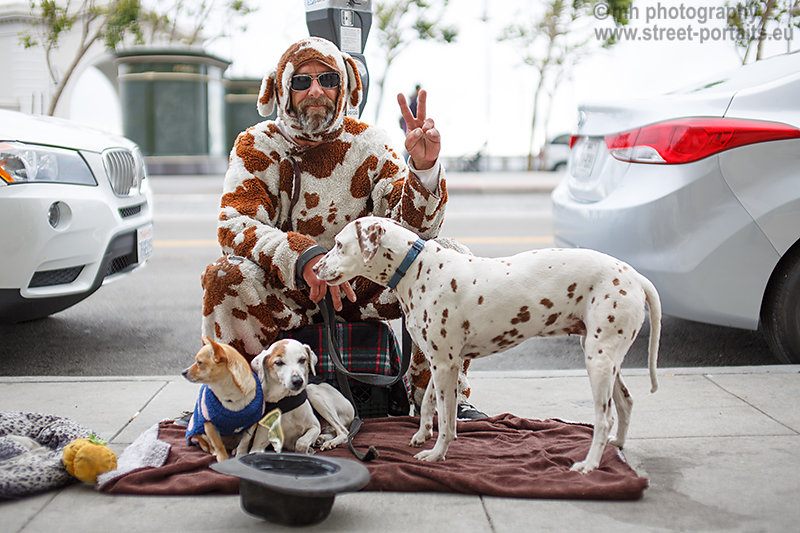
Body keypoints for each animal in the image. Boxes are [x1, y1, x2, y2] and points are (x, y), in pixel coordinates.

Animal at [314, 214, 664, 472]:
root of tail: (635, 276)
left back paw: (589, 464)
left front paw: (437, 453)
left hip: (599, 360)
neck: (416, 268)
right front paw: (423, 434)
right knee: (625, 403)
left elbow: (447, 419)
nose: (314, 267)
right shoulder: (441, 362)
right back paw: (616, 446)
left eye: (340, 244)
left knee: (603, 418)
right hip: (606, 358)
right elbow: (429, 404)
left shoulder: (445, 365)